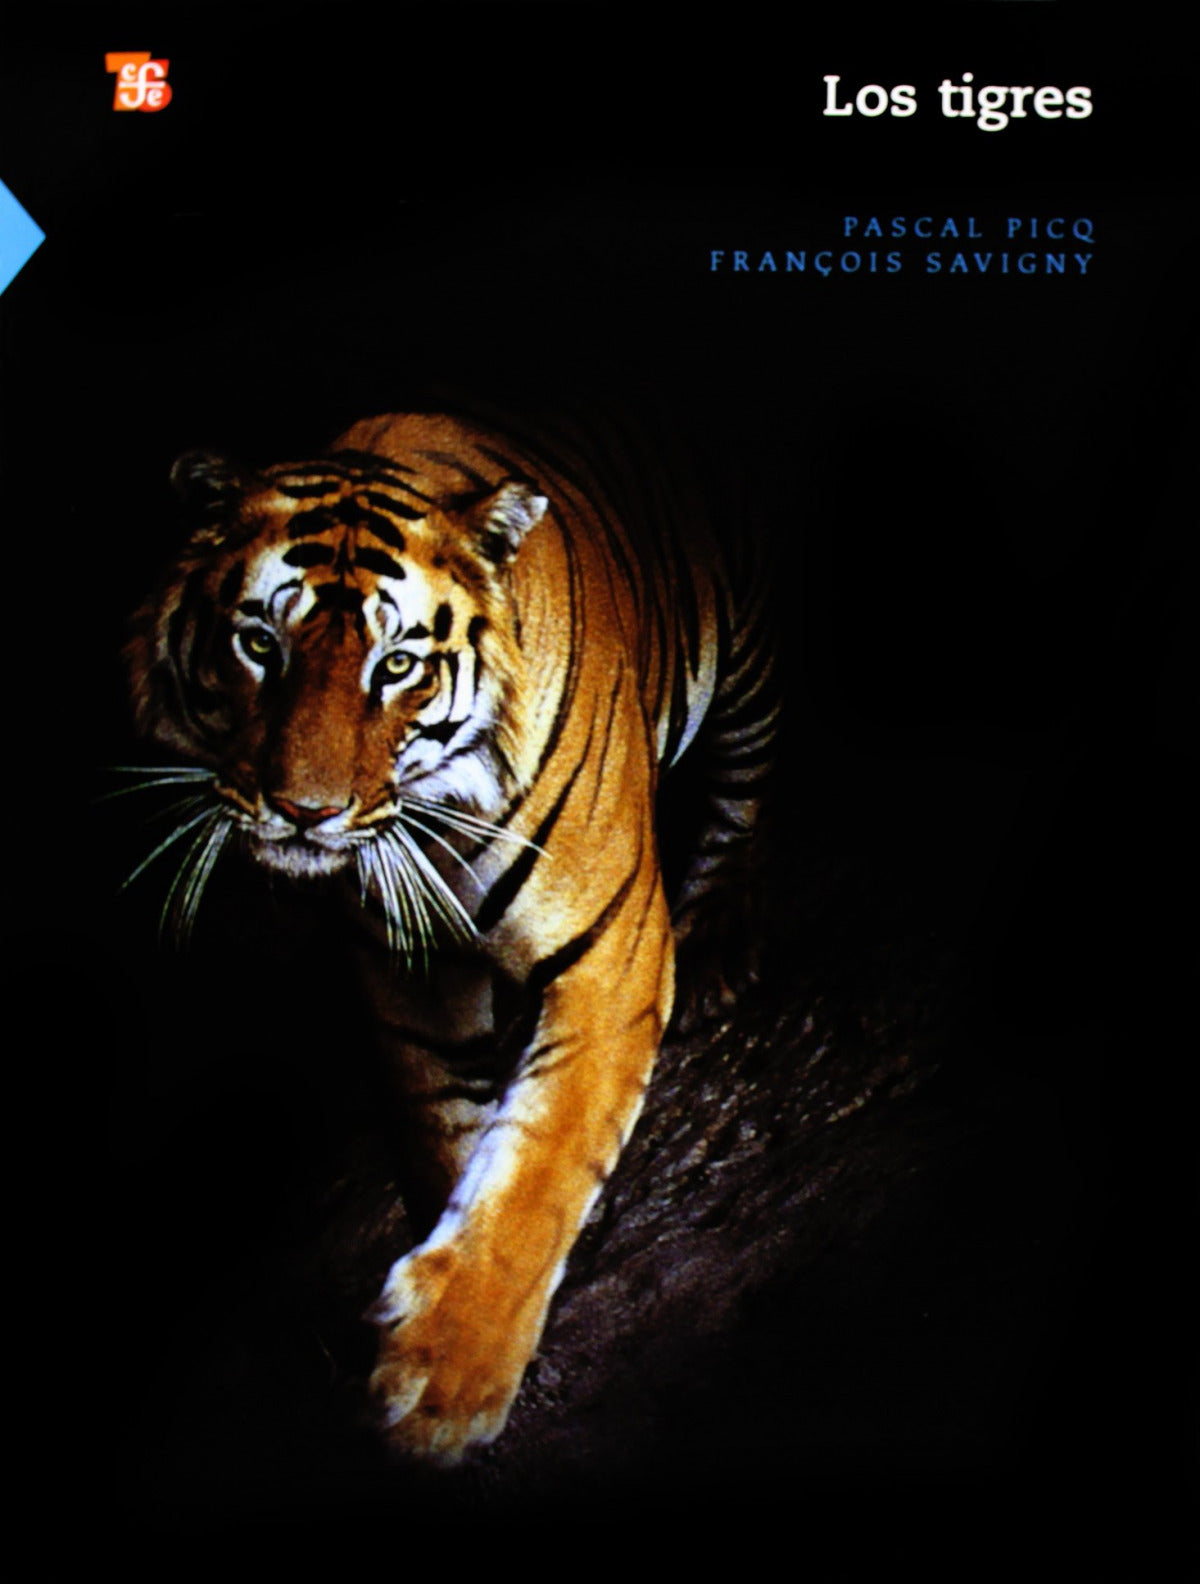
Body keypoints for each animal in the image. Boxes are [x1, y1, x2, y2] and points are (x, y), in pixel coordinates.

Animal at [124, 405, 777, 1464]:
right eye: (259, 643)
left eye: (396, 665)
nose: (305, 813)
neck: (431, 817)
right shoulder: (408, 980)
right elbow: (451, 1142)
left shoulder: (611, 953)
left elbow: (544, 1158)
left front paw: (444, 1381)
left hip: (746, 647)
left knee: (750, 776)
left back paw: (721, 934)